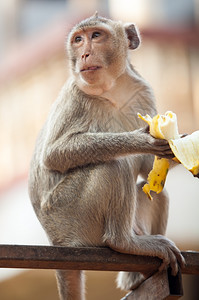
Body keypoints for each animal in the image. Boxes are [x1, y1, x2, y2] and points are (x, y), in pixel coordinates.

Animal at [28, 13, 185, 300]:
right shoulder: (75, 96)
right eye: (78, 40)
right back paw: (124, 242)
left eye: (96, 36)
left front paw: (174, 148)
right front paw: (141, 140)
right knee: (114, 165)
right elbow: (55, 154)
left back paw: (137, 274)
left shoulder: (143, 91)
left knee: (157, 191)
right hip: (69, 219)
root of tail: (55, 240)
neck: (112, 89)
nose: (84, 54)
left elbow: (148, 169)